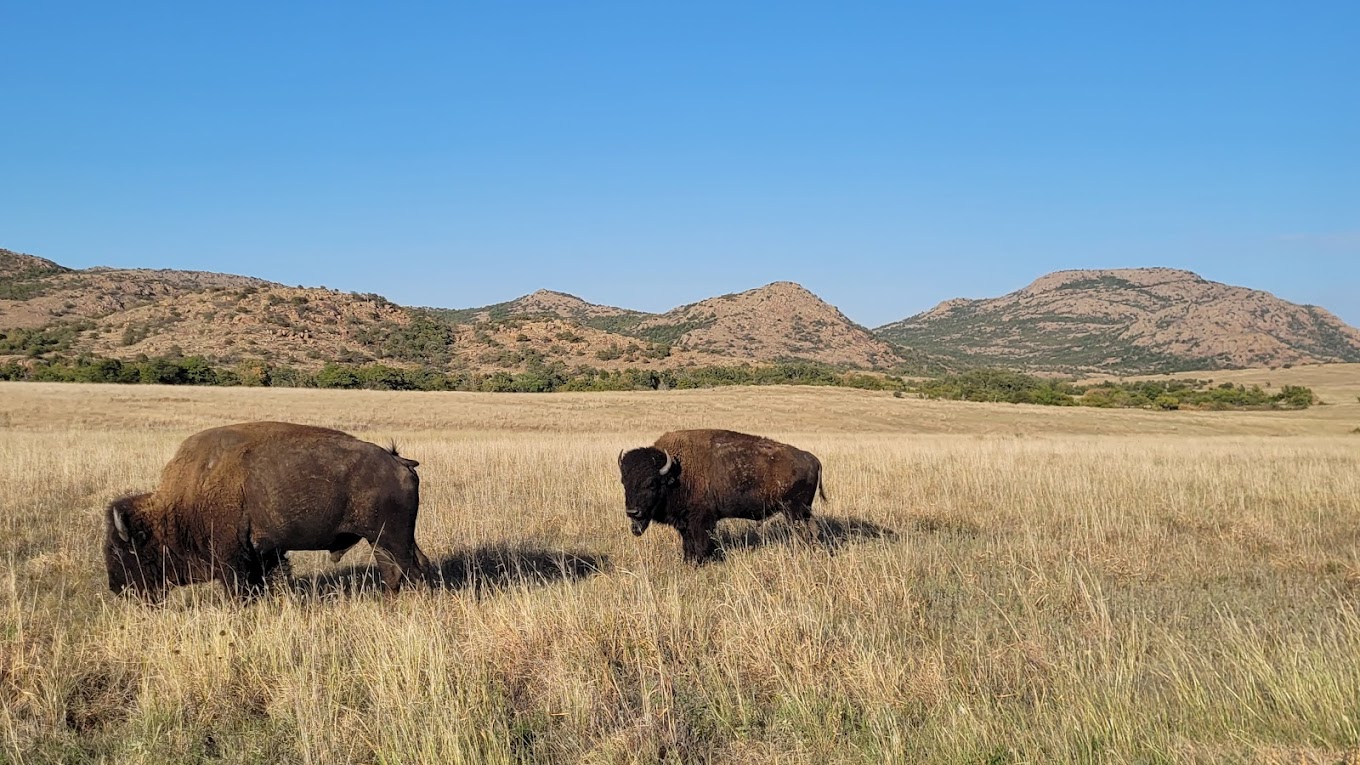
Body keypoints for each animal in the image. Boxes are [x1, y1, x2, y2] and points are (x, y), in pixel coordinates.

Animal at [102, 419, 427, 598]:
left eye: (122, 550)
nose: (117, 588)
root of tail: (398, 461)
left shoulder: (232, 560)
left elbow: (238, 591)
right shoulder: (262, 554)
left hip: (392, 538)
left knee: (411, 569)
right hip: (383, 540)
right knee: (395, 571)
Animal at [620, 430, 826, 560]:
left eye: (651, 483)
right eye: (624, 482)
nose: (633, 512)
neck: (677, 472)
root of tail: (812, 459)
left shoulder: (701, 520)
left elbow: (700, 544)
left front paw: (701, 562)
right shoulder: (685, 522)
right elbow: (688, 544)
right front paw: (688, 561)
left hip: (793, 511)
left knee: (802, 532)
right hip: (804, 511)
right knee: (813, 529)